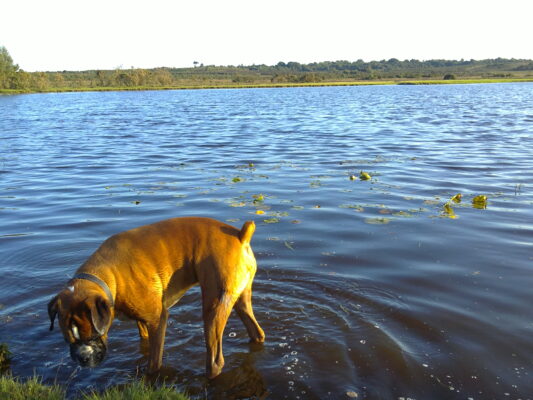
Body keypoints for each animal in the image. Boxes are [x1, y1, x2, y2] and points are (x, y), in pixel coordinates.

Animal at [46, 216, 264, 378]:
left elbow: (154, 361)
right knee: (257, 331)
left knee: (216, 360)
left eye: (93, 337)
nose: (82, 358)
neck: (109, 276)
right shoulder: (142, 322)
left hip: (213, 309)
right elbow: (145, 340)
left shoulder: (158, 319)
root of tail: (240, 235)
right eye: (67, 339)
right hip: (239, 299)